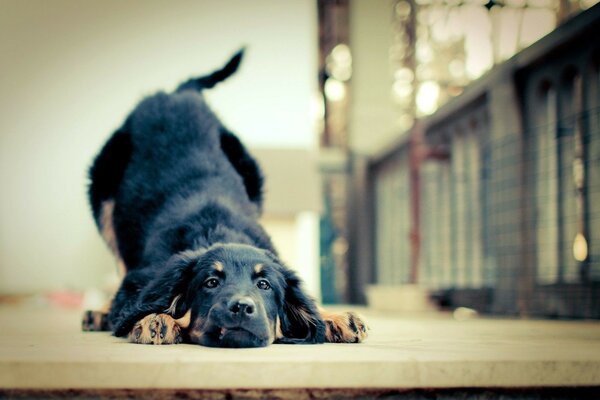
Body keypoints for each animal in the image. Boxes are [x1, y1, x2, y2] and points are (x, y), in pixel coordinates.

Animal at [82, 50, 368, 346]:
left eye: (264, 285)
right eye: (211, 282)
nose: (241, 307)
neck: (216, 231)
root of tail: (178, 93)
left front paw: (333, 317)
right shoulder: (142, 276)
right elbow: (135, 299)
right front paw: (154, 318)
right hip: (103, 192)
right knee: (118, 260)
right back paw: (100, 312)